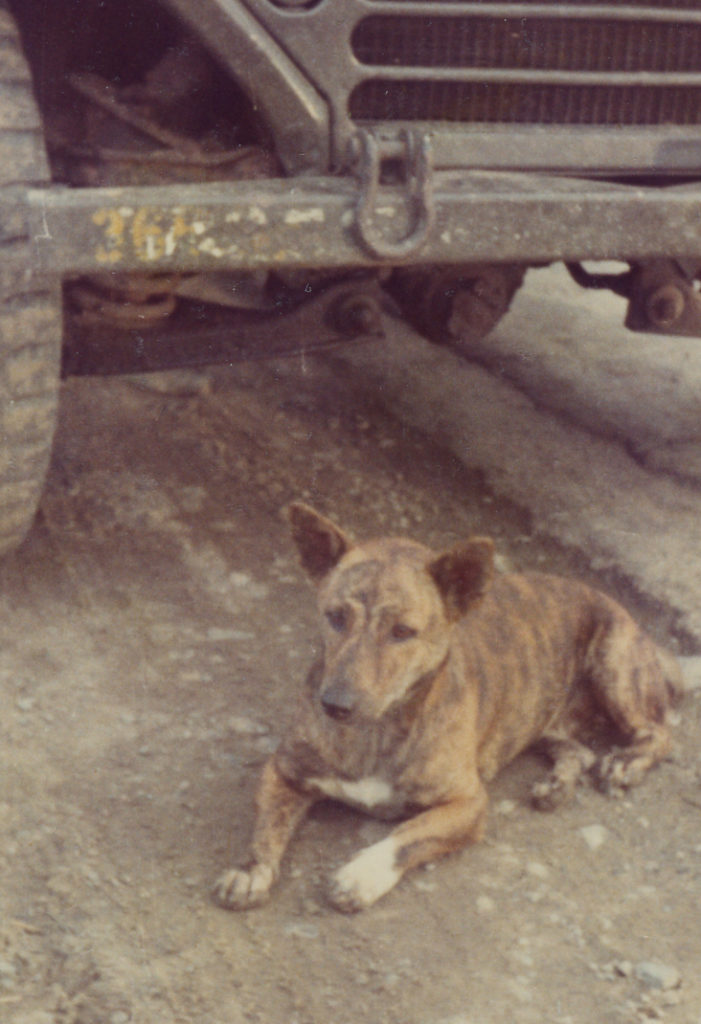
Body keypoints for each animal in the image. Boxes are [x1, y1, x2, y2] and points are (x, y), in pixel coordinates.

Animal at [213, 502, 684, 913]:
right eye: (335, 617)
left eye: (403, 632)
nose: (335, 705)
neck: (378, 730)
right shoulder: (283, 771)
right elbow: (267, 826)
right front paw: (251, 869)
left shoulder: (468, 803)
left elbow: (407, 833)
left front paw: (362, 874)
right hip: (544, 720)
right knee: (578, 750)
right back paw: (557, 785)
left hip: (615, 666)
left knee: (659, 732)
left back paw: (627, 762)